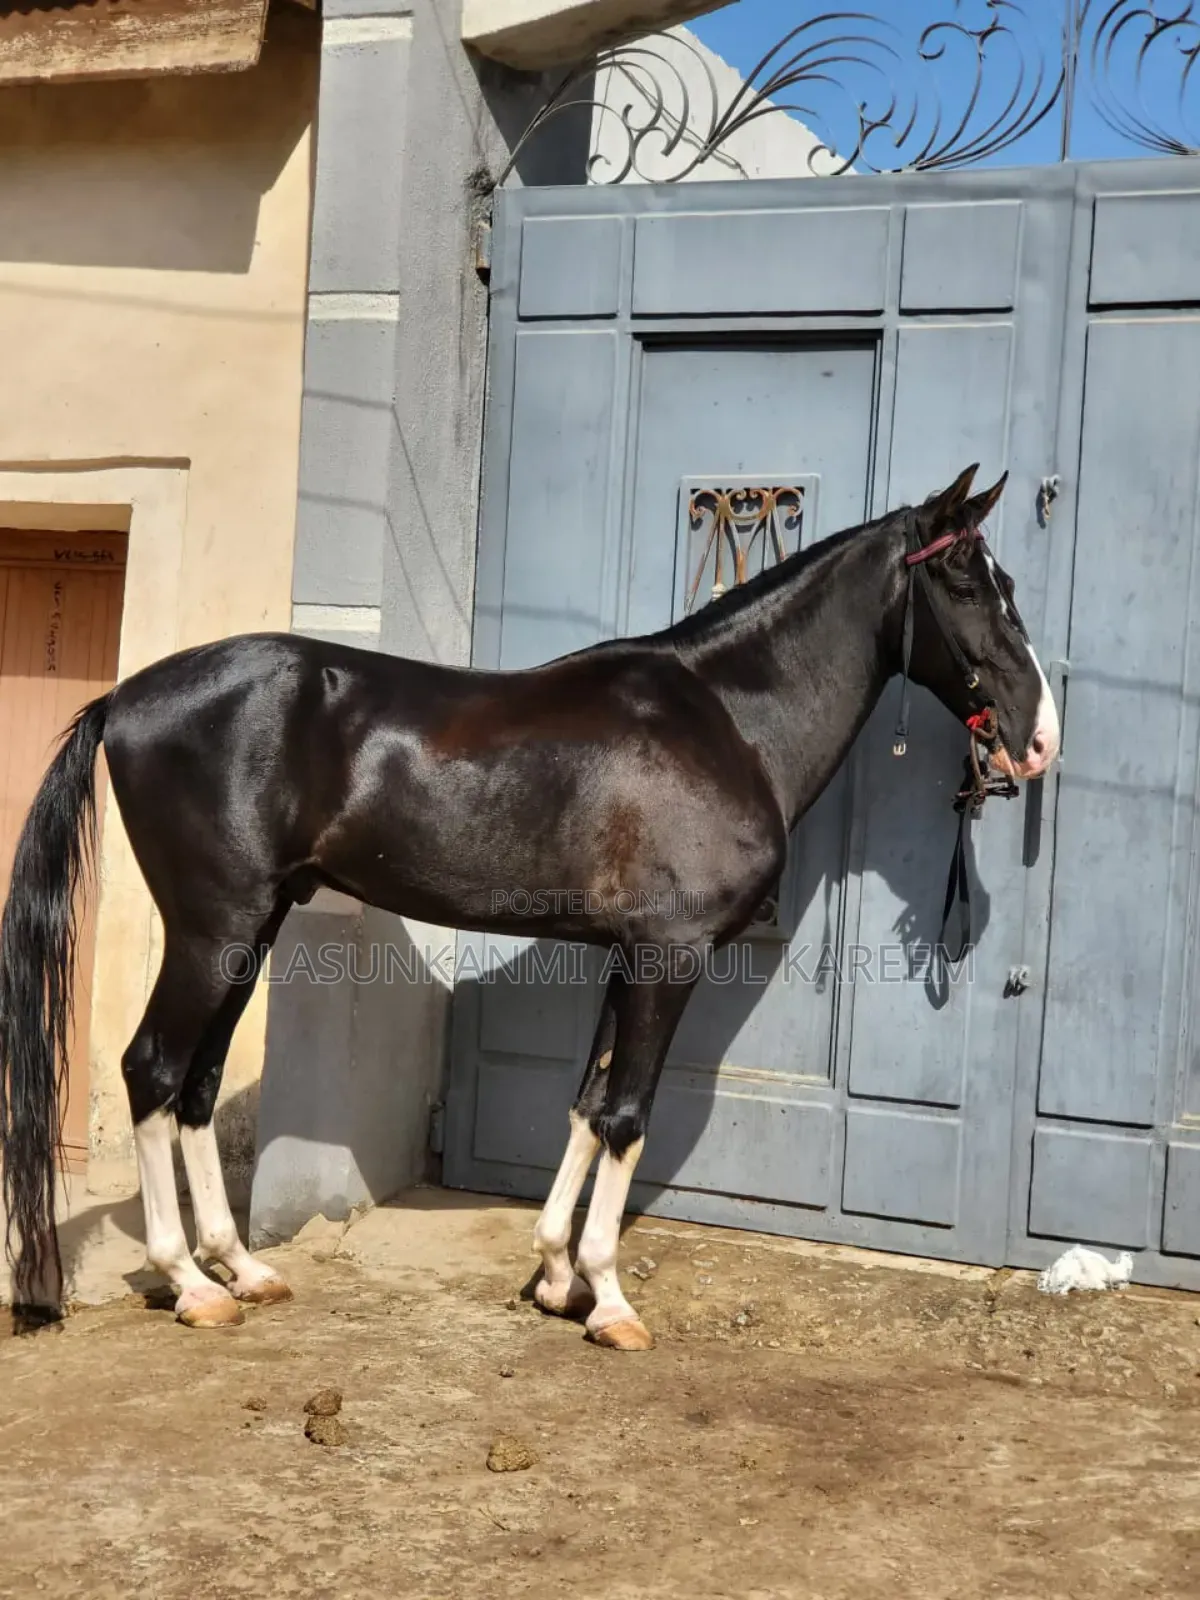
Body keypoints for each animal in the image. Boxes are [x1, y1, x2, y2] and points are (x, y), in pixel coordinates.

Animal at [0, 463, 1059, 1344]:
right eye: (968, 582)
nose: (1039, 737)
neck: (725, 718)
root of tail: (127, 699)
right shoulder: (670, 956)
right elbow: (627, 1114)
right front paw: (610, 1300)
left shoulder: (631, 954)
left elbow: (588, 1103)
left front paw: (555, 1276)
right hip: (211, 931)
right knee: (151, 1069)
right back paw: (189, 1284)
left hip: (249, 930)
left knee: (197, 1084)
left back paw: (243, 1269)